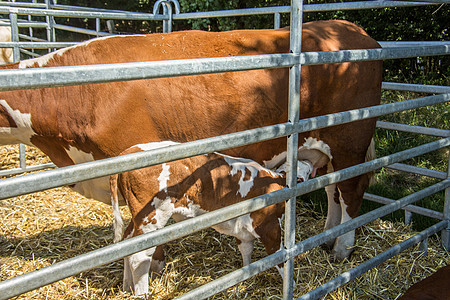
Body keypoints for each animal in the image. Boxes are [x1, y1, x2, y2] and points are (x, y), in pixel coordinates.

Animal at [0, 21, 384, 260]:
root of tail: (353, 29)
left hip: (349, 139)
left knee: (351, 189)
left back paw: (342, 248)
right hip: (322, 146)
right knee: (333, 188)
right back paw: (329, 238)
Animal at [110, 138, 332, 296]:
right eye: (307, 170)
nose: (314, 165)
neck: (276, 182)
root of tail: (129, 152)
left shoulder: (244, 228)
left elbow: (246, 250)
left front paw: (246, 276)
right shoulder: (269, 226)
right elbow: (280, 257)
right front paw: (291, 282)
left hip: (137, 219)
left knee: (127, 245)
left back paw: (127, 288)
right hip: (152, 216)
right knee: (140, 256)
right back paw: (141, 293)